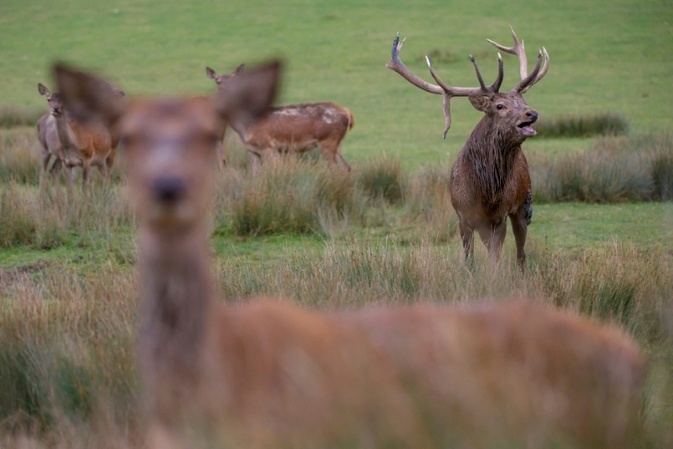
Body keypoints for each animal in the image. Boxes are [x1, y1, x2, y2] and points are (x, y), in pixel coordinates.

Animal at [206, 64, 353, 173]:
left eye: (235, 81)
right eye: (218, 81)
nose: (229, 94)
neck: (245, 127)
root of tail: (348, 114)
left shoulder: (267, 145)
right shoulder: (253, 150)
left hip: (328, 140)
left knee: (338, 170)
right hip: (337, 144)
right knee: (347, 168)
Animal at [387, 27, 550, 271]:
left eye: (523, 101)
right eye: (500, 106)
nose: (532, 113)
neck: (484, 193)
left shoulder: (500, 215)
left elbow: (495, 258)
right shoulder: (463, 216)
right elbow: (469, 259)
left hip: (524, 203)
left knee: (521, 252)